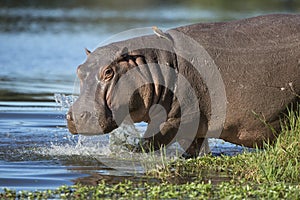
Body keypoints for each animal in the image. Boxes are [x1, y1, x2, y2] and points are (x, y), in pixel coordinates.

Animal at [67, 14, 300, 158]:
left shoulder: (179, 119)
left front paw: (125, 151)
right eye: (79, 69)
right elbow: (195, 148)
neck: (151, 62)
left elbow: (148, 144)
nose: (77, 115)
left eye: (108, 72)